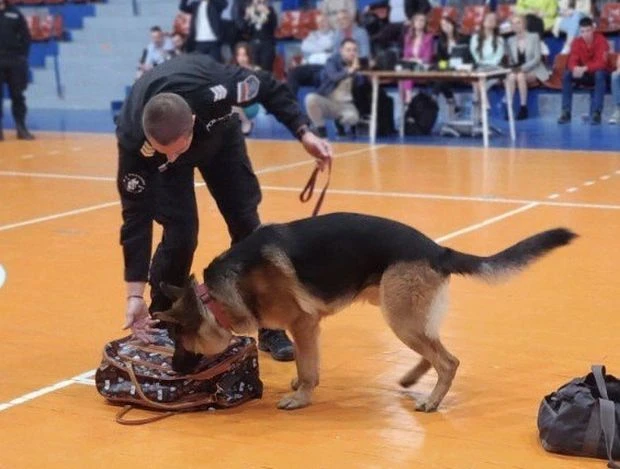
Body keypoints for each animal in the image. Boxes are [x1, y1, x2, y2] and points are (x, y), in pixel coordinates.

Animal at [154, 211, 576, 410]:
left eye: (177, 339)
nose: (173, 369)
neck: (217, 297)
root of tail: (437, 249)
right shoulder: (306, 330)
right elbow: (307, 363)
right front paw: (299, 384)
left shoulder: (304, 324)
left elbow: (309, 367)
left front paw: (301, 397)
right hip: (400, 313)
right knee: (433, 350)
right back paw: (411, 378)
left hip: (399, 318)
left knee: (448, 360)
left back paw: (432, 400)